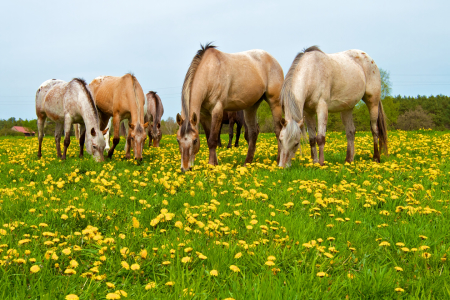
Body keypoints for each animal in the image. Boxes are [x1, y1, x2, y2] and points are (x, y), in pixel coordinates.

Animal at [175, 43, 282, 172]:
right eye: (178, 140)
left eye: (195, 140)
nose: (185, 168)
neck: (210, 71)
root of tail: (272, 59)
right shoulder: (204, 116)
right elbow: (209, 138)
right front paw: (215, 163)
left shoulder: (217, 111)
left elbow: (213, 140)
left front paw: (211, 165)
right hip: (251, 106)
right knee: (253, 132)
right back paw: (247, 163)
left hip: (274, 101)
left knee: (278, 130)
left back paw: (279, 161)